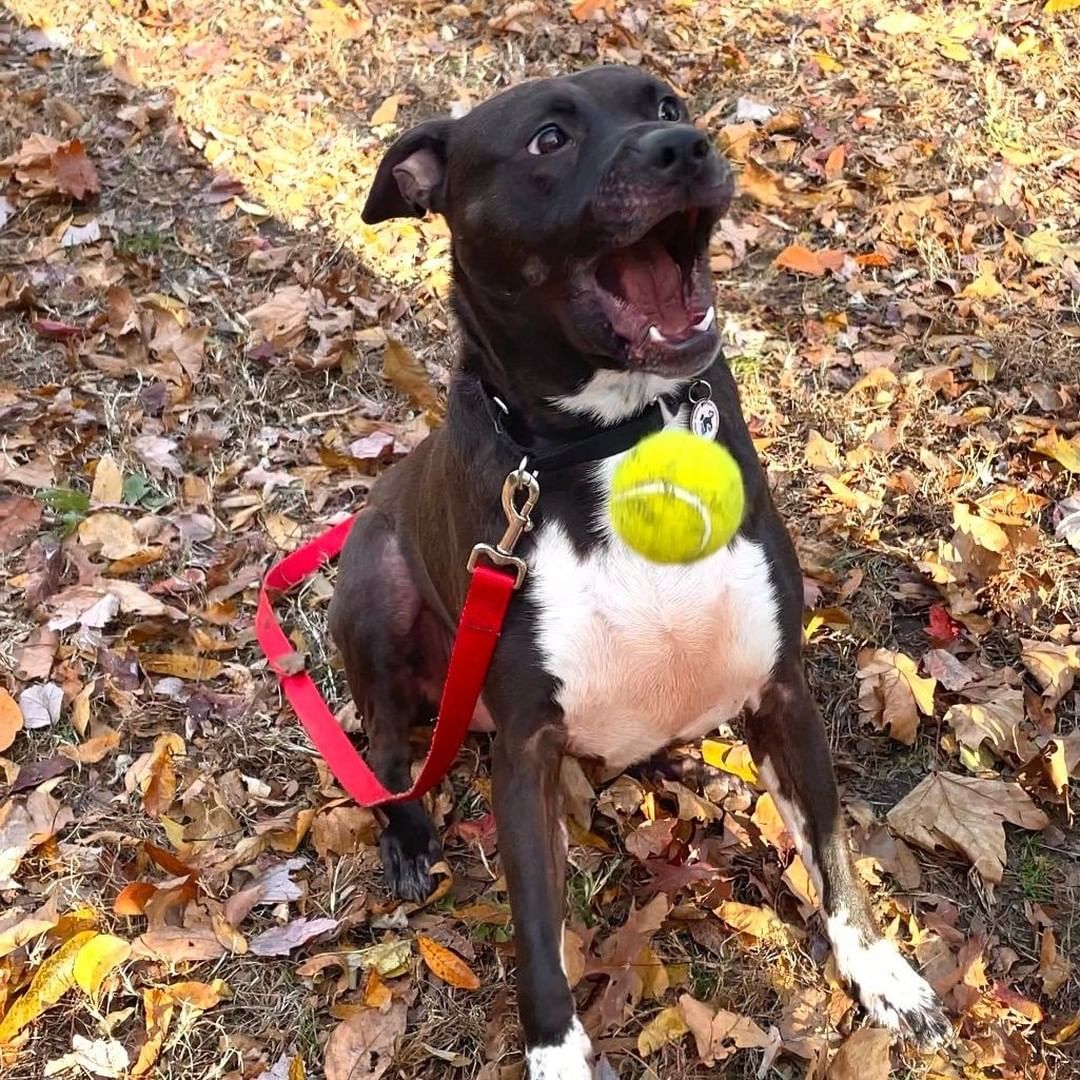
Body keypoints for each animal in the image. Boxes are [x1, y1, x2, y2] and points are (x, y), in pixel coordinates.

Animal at [328, 65, 946, 1071]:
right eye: (548, 139)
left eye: (664, 104)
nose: (684, 149)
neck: (619, 439)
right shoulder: (525, 750)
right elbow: (537, 936)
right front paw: (556, 1054)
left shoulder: (782, 692)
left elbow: (834, 855)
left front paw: (880, 973)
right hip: (378, 582)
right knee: (383, 747)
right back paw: (408, 836)